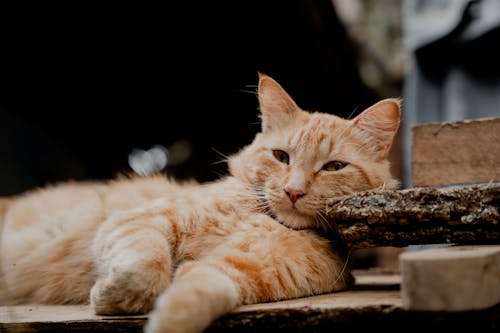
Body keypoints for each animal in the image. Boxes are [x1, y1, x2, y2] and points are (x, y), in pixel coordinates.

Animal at [0, 73, 398, 332]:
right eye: (281, 157)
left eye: (333, 167)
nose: (293, 192)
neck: (266, 218)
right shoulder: (137, 222)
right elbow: (147, 267)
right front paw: (108, 293)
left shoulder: (236, 271)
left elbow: (191, 294)